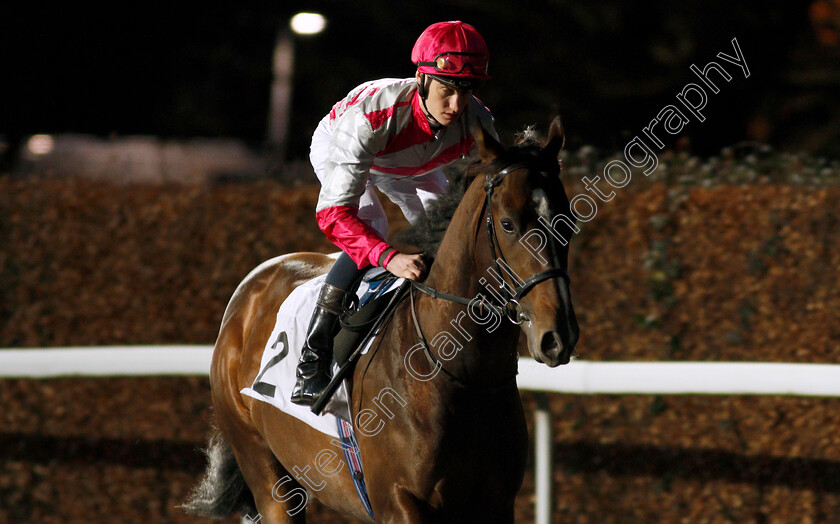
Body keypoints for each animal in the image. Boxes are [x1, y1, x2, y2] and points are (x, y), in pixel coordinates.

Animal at [184, 119, 576, 524]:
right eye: (508, 224)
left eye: (568, 222)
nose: (556, 336)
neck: (460, 374)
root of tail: (247, 293)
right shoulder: (399, 501)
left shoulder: (497, 504)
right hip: (266, 474)